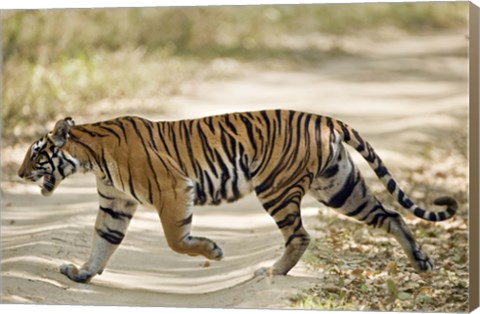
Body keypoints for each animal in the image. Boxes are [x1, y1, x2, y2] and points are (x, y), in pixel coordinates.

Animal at [16, 109, 456, 284]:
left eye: (36, 154)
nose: (18, 174)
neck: (89, 157)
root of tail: (323, 117)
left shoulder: (173, 188)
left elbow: (176, 240)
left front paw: (213, 252)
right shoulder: (115, 204)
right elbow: (103, 242)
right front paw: (82, 273)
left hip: (277, 188)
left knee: (300, 235)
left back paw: (273, 272)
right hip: (340, 186)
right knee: (391, 216)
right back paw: (422, 262)